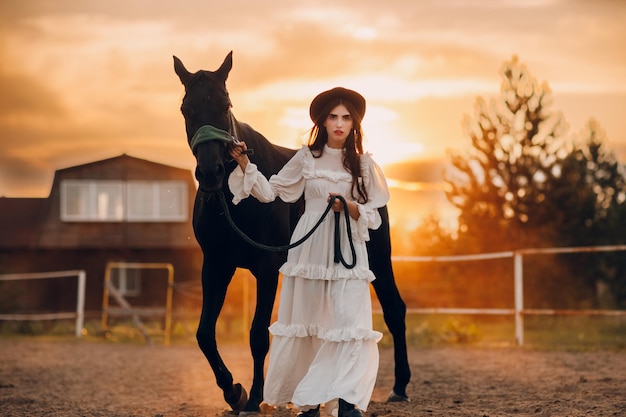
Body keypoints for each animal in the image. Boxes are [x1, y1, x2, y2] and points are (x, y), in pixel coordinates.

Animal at [173, 52, 408, 412]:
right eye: (186, 108)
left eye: (225, 104)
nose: (211, 172)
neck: (234, 202)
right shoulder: (216, 265)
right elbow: (204, 334)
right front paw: (234, 391)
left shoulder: (267, 268)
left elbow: (258, 335)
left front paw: (254, 397)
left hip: (379, 258)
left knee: (395, 310)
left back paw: (399, 387)